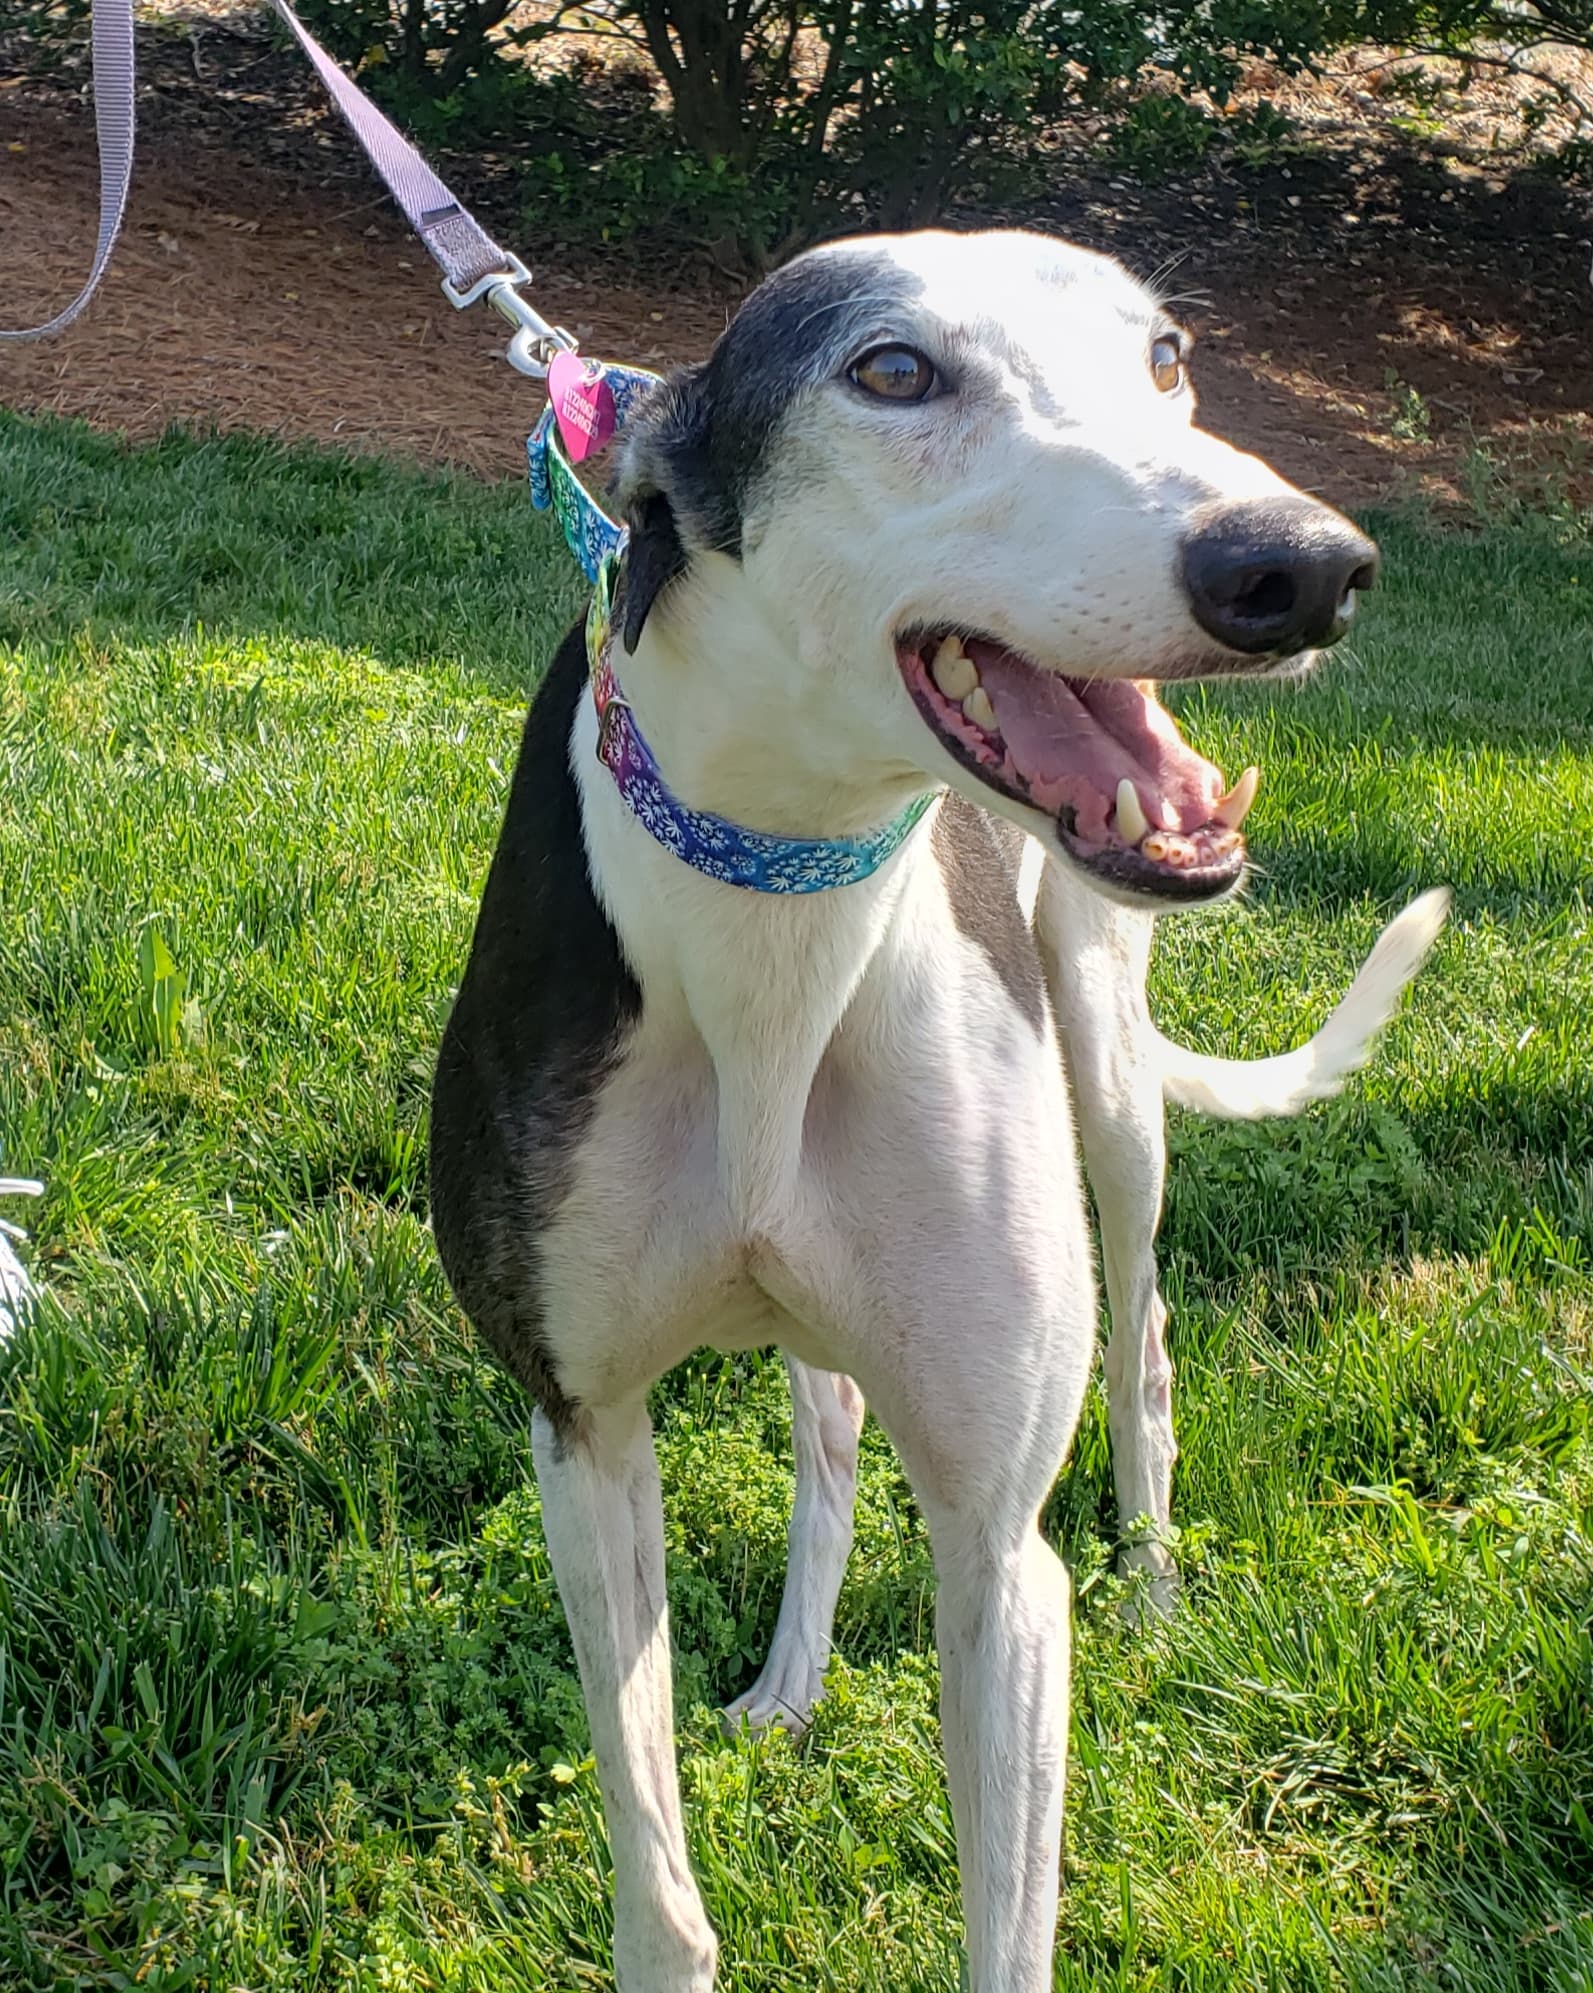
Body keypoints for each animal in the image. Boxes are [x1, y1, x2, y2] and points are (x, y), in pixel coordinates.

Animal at [430, 227, 1445, 1990]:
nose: (1303, 567)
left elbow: (1006, 1915)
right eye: (892, 370)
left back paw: (1154, 1578)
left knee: (1145, 1323)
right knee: (832, 1419)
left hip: (1105, 1061)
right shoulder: (582, 1429)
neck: (780, 899)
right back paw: (790, 1678)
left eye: (1166, 356)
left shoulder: (993, 1545)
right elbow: (654, 1870)